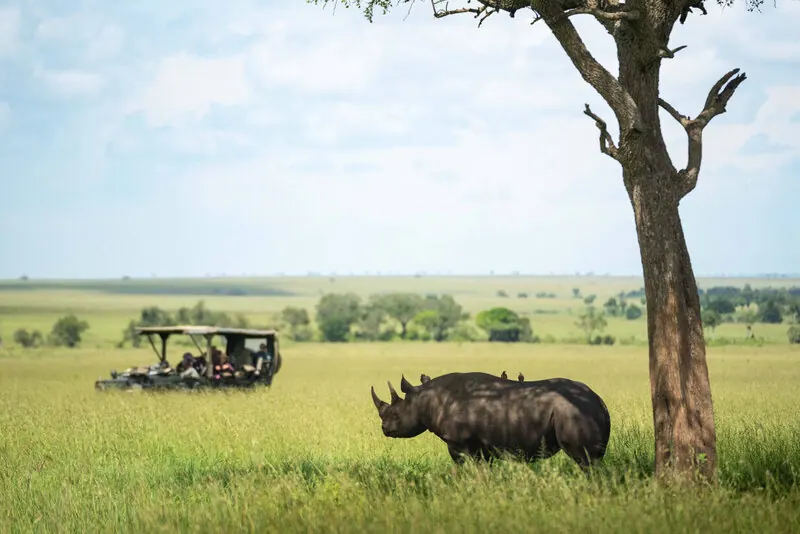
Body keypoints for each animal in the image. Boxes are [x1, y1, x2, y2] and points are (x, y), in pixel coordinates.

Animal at [370, 372, 611, 469]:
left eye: (396, 415)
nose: (384, 429)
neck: (425, 400)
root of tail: (598, 400)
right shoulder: (483, 446)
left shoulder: (461, 443)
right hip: (582, 409)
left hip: (573, 411)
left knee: (585, 461)